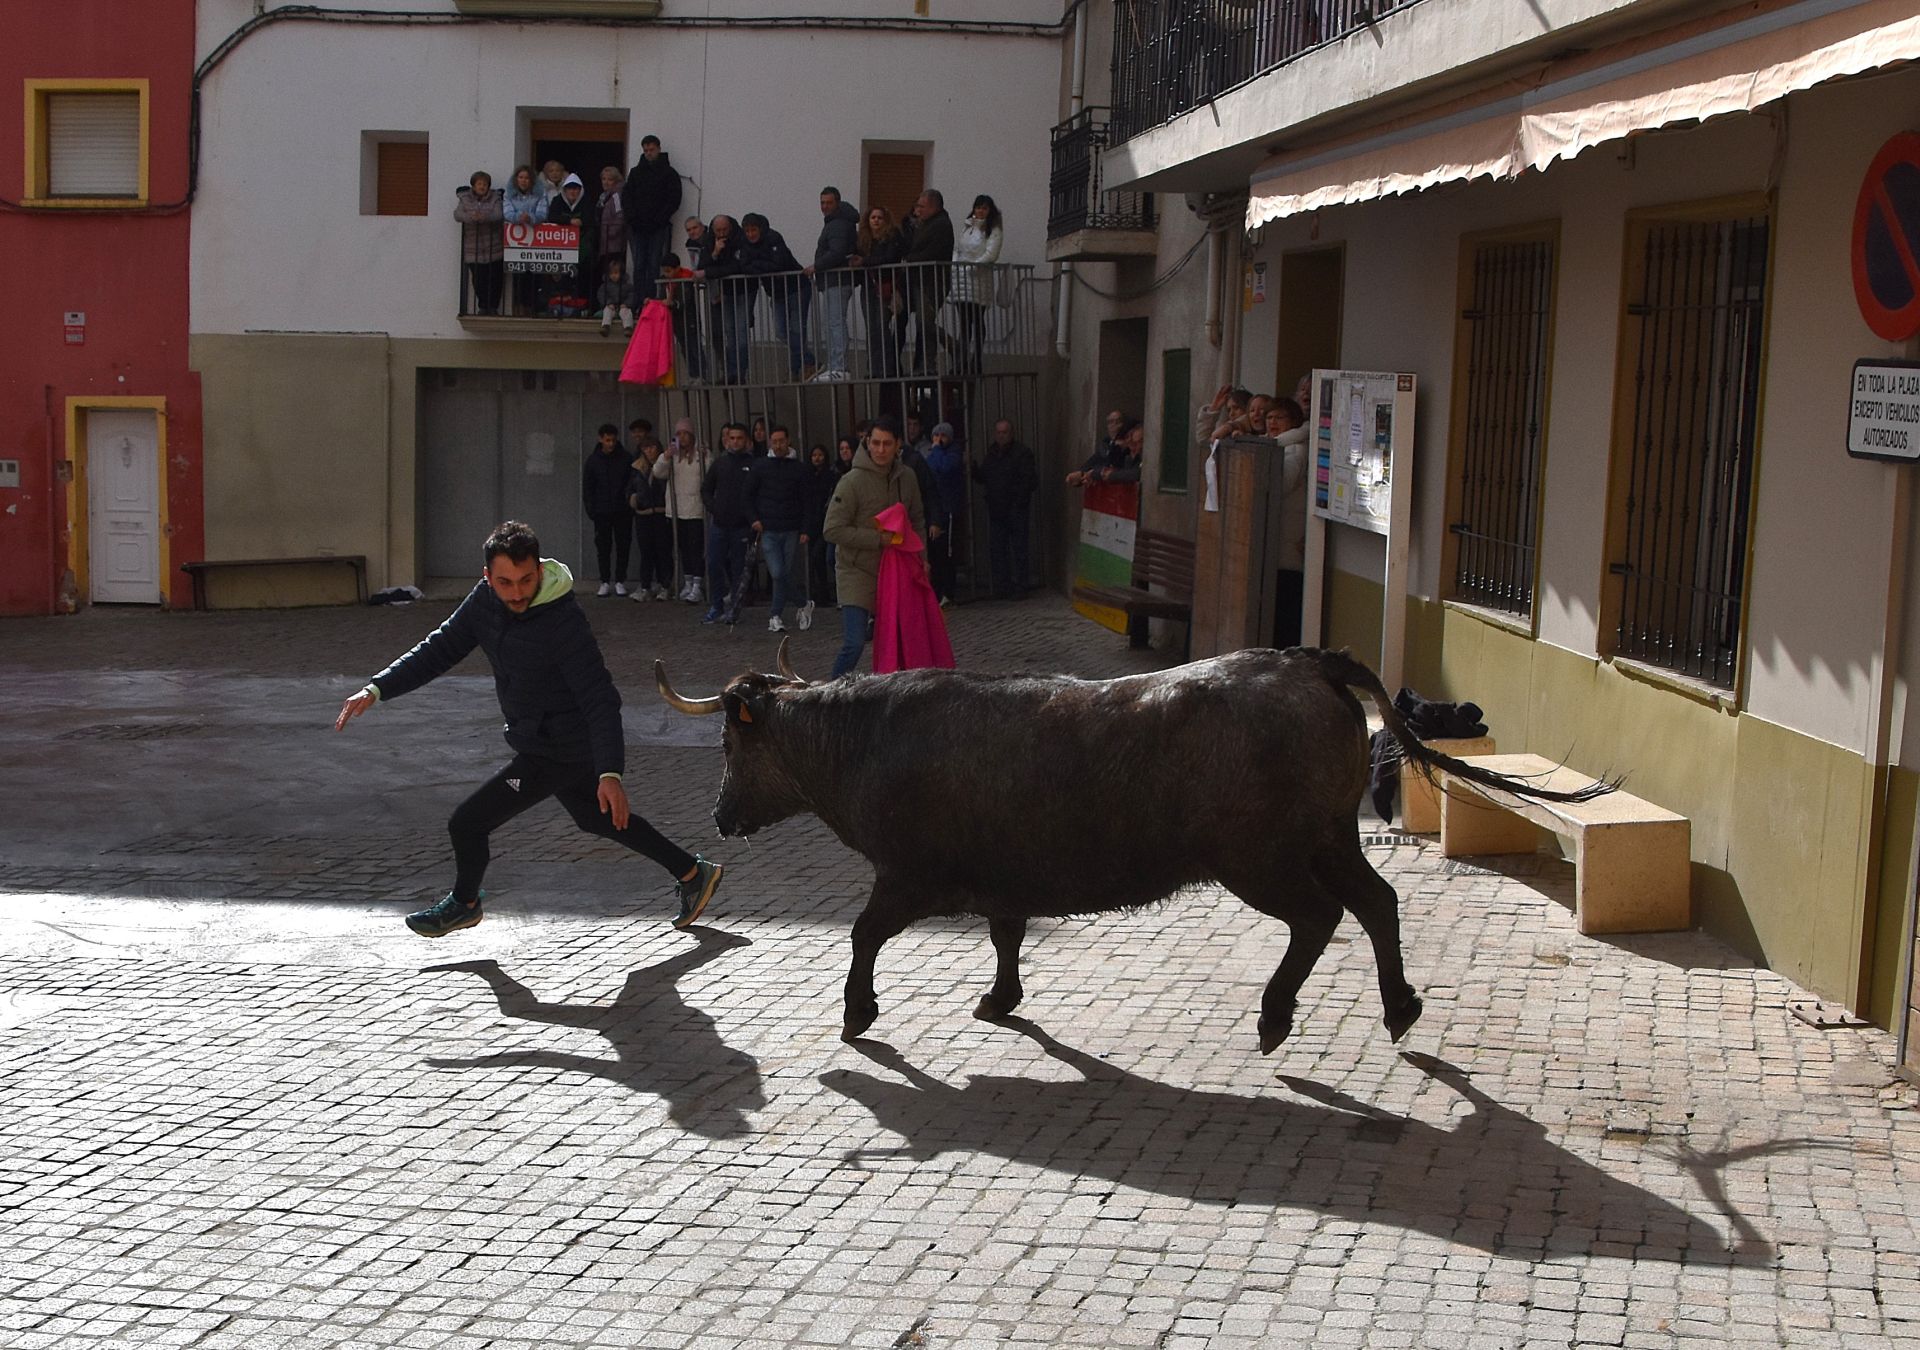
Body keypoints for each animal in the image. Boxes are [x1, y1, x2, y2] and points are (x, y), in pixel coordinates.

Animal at [660, 645, 1605, 1060]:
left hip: (1260, 858)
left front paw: (858, 1013)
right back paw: (1400, 1007)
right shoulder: (1003, 880)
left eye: (732, 745)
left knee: (1318, 917)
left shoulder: (908, 877)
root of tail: (1303, 660)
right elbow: (1007, 934)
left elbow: (863, 936)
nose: (719, 815)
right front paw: (1000, 998)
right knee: (1377, 903)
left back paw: (1274, 1018)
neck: (863, 739)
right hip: (1329, 835)